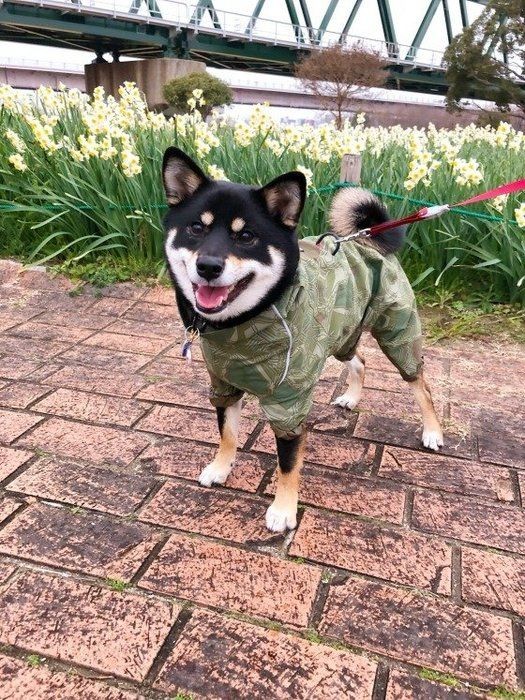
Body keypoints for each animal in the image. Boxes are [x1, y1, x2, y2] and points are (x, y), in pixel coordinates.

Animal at [161, 146, 442, 532]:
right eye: (195, 228)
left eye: (246, 237)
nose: (208, 266)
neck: (240, 326)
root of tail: (369, 238)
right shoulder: (223, 383)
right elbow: (227, 433)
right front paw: (220, 468)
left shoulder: (289, 402)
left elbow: (288, 462)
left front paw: (283, 510)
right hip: (341, 333)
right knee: (360, 360)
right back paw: (351, 398)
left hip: (397, 332)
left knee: (420, 383)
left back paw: (433, 432)